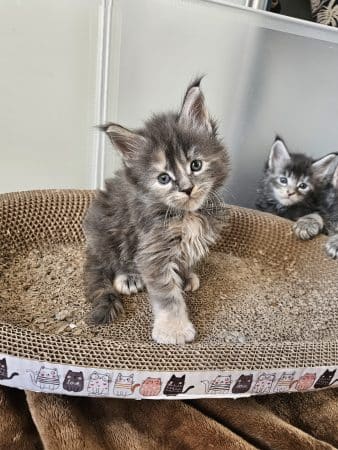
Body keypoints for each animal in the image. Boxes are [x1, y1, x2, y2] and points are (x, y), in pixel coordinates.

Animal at [83, 78, 230, 344]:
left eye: (196, 165)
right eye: (163, 178)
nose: (187, 189)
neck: (186, 215)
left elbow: (185, 259)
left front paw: (186, 274)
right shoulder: (153, 248)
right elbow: (167, 295)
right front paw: (174, 330)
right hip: (110, 231)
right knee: (111, 261)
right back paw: (128, 276)